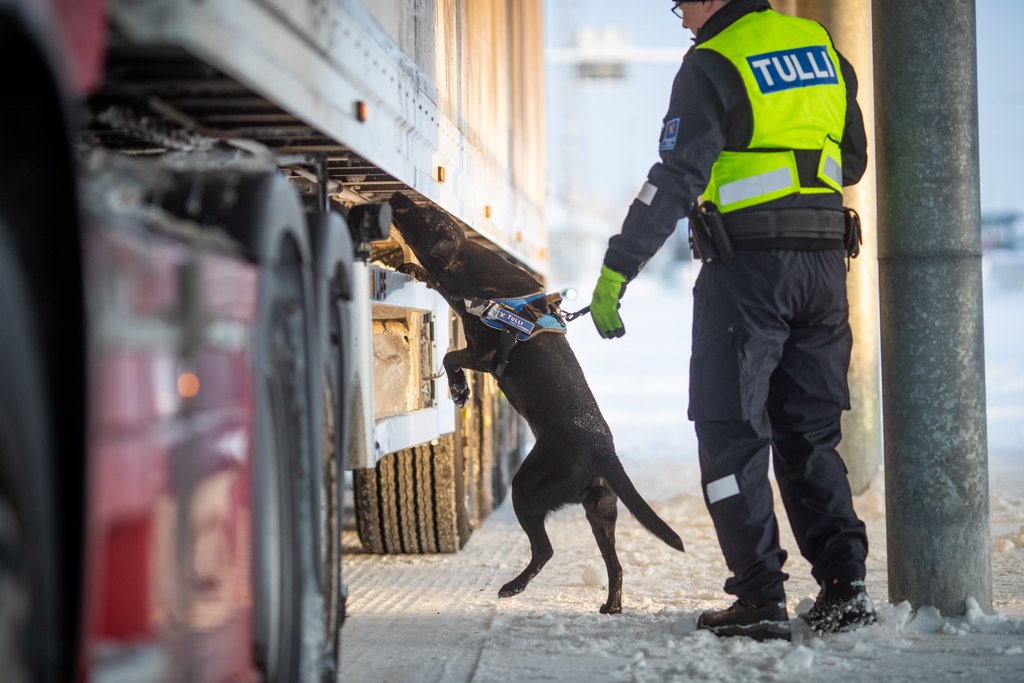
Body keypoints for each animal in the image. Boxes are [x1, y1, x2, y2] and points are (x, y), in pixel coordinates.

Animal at [387, 192, 684, 614]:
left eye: (420, 213)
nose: (397, 195)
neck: (487, 283)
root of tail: (605, 451)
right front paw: (413, 266)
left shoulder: (486, 355)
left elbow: (448, 357)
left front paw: (459, 390)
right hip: (600, 511)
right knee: (615, 565)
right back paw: (611, 605)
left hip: (528, 488)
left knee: (545, 550)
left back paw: (513, 586)